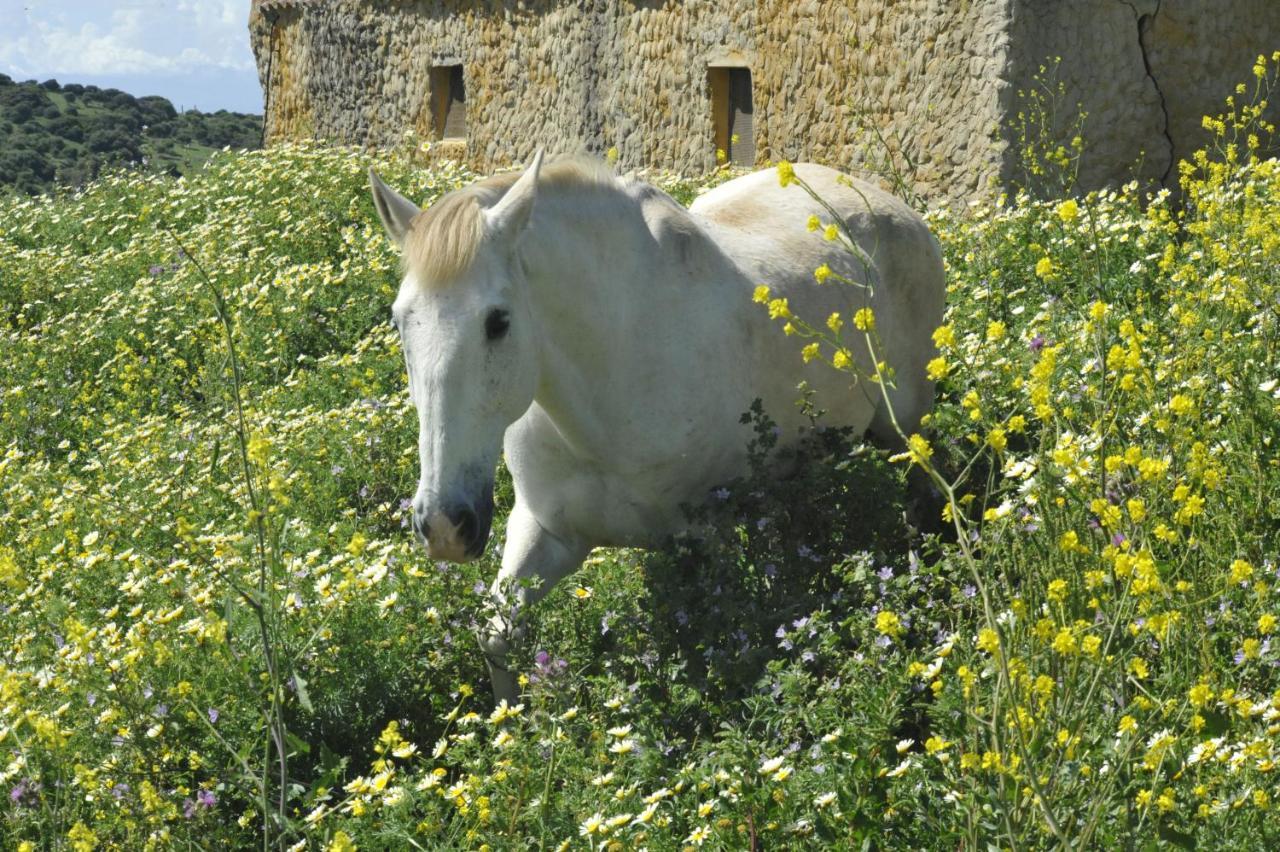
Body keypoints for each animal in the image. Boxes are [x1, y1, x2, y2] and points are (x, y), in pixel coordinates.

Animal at [366, 150, 947, 695]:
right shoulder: (544, 530)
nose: (445, 527)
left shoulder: (702, 540)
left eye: (498, 321)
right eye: (398, 320)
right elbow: (498, 637)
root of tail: (889, 205)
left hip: (908, 423)